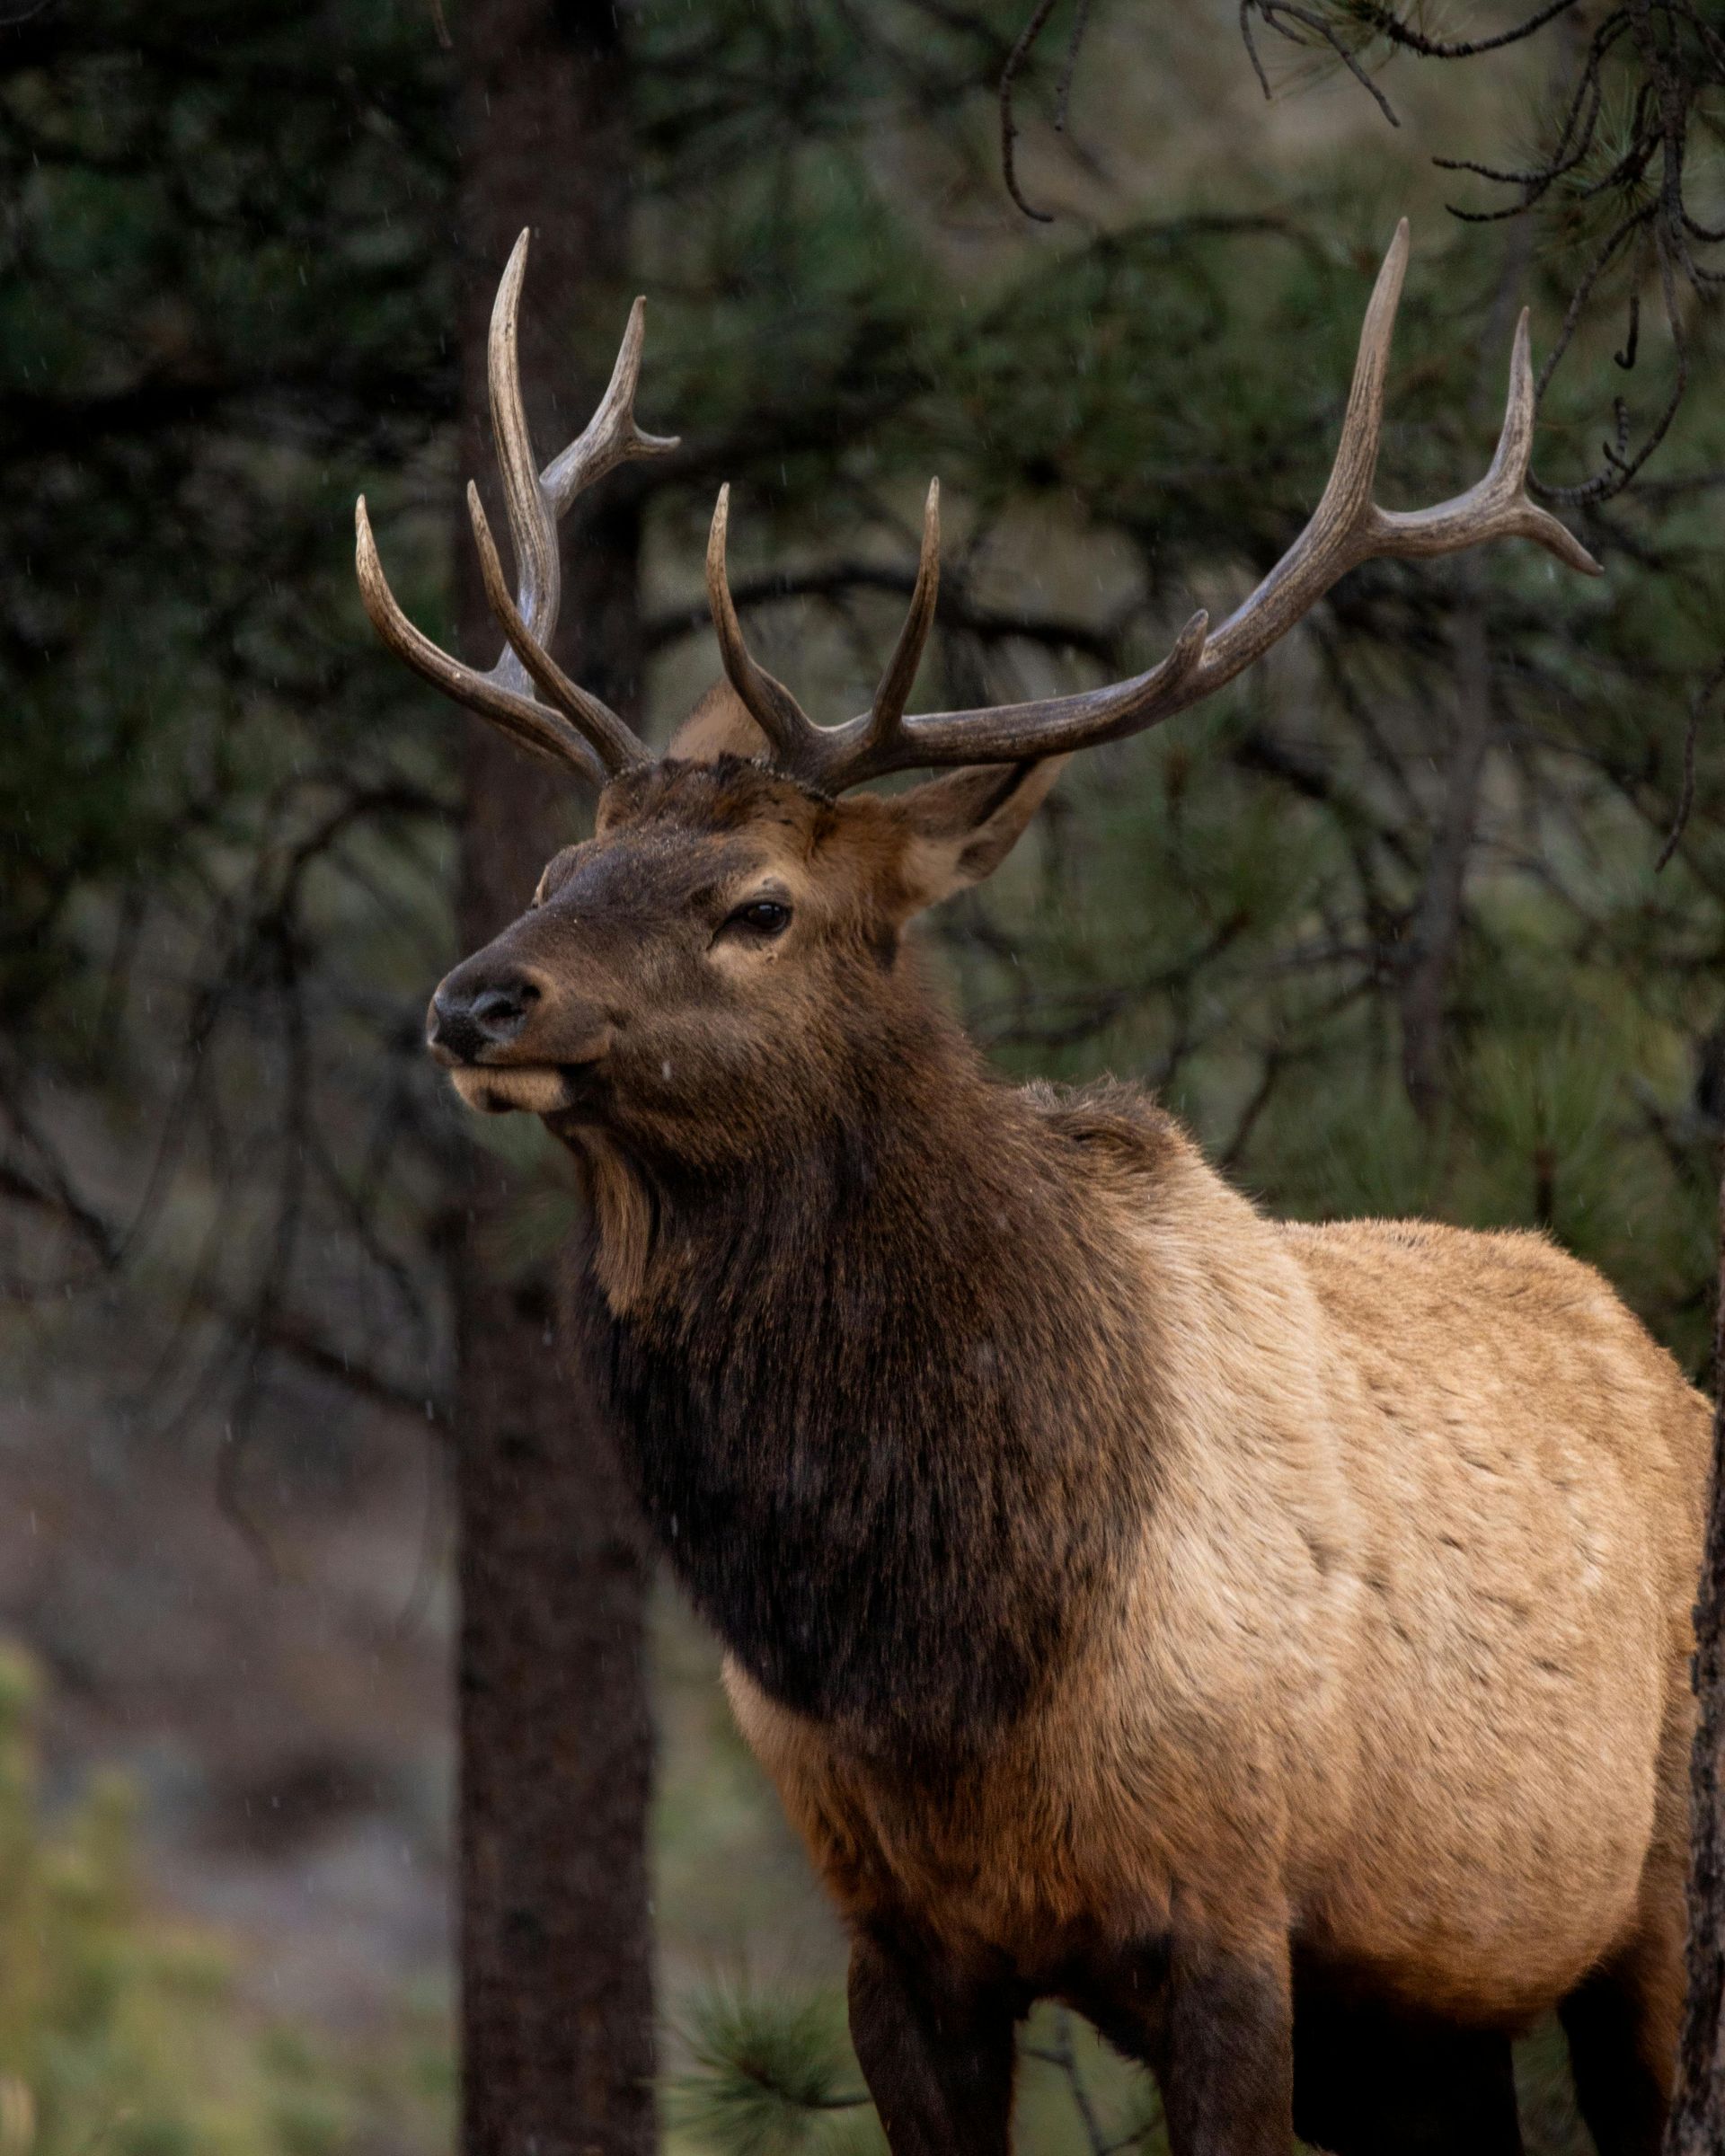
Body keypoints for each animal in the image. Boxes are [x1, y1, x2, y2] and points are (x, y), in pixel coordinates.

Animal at [355, 224, 1710, 2156]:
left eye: (759, 904)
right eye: (558, 868)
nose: (477, 999)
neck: (945, 1652)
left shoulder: (1233, 1911)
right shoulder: (898, 1940)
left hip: (1650, 1903)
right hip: (1427, 2016)